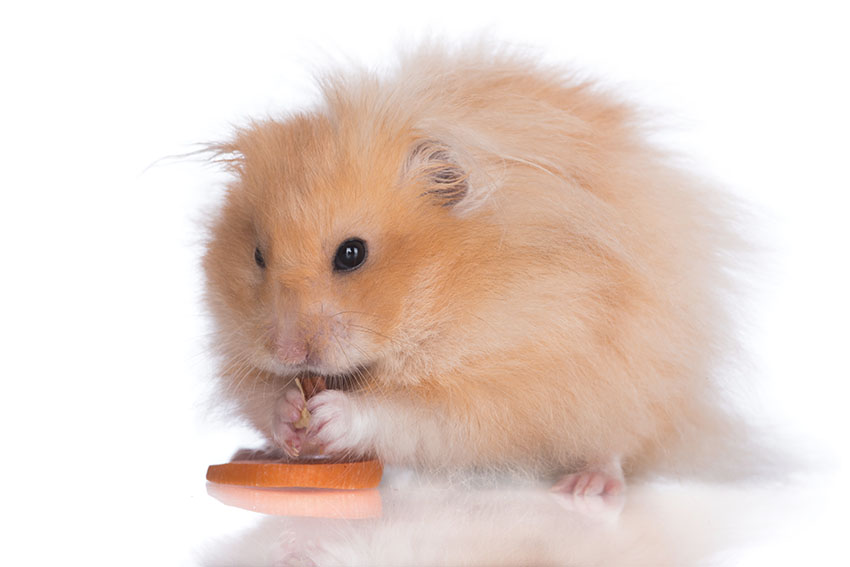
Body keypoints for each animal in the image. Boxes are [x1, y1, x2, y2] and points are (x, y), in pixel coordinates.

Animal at [202, 44, 748, 497]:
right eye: (258, 255)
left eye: (352, 254)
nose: (287, 352)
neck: (447, 283)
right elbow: (260, 394)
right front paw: (286, 411)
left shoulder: (500, 381)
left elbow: (403, 413)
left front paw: (331, 414)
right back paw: (254, 452)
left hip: (635, 381)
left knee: (618, 441)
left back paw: (587, 488)